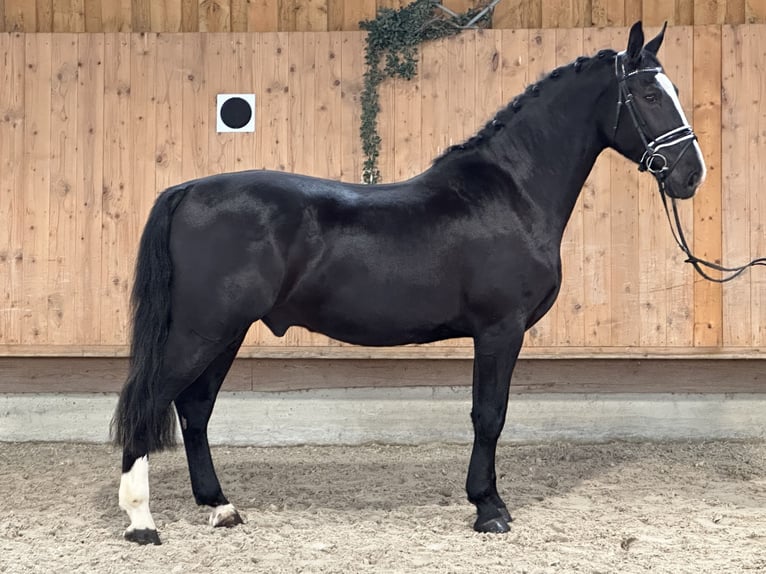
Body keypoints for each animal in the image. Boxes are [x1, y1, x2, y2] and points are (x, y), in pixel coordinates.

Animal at [112, 20, 708, 548]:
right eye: (649, 95)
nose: (690, 174)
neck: (511, 193)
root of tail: (188, 189)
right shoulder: (500, 330)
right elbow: (489, 414)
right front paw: (489, 508)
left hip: (225, 332)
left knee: (194, 409)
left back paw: (220, 507)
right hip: (203, 331)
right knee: (149, 400)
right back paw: (141, 522)